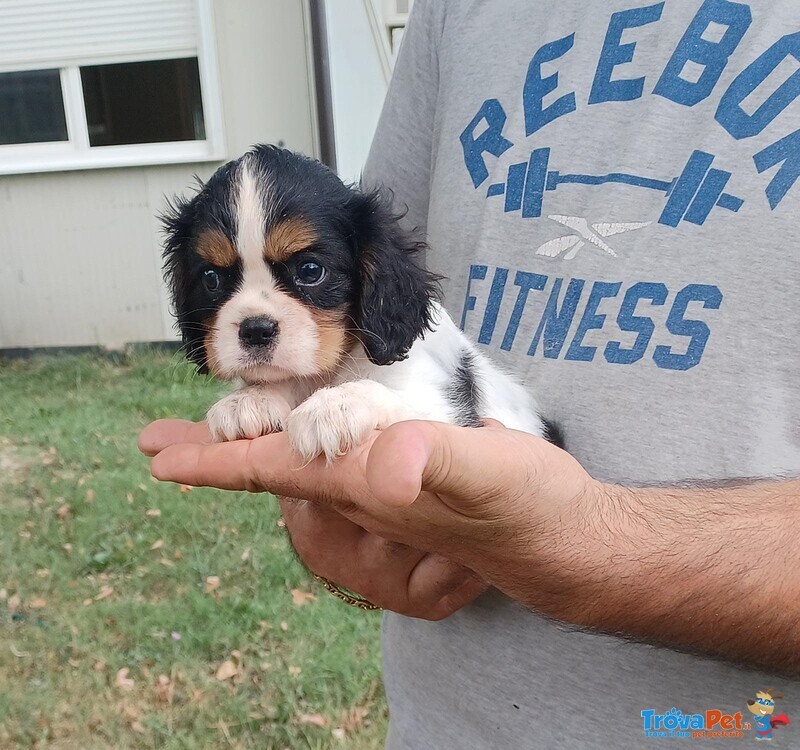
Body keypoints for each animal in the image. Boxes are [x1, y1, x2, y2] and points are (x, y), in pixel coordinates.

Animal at [162, 145, 564, 462]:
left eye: (310, 271)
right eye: (211, 279)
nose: (255, 330)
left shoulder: (446, 410)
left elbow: (384, 392)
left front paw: (334, 405)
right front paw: (249, 399)